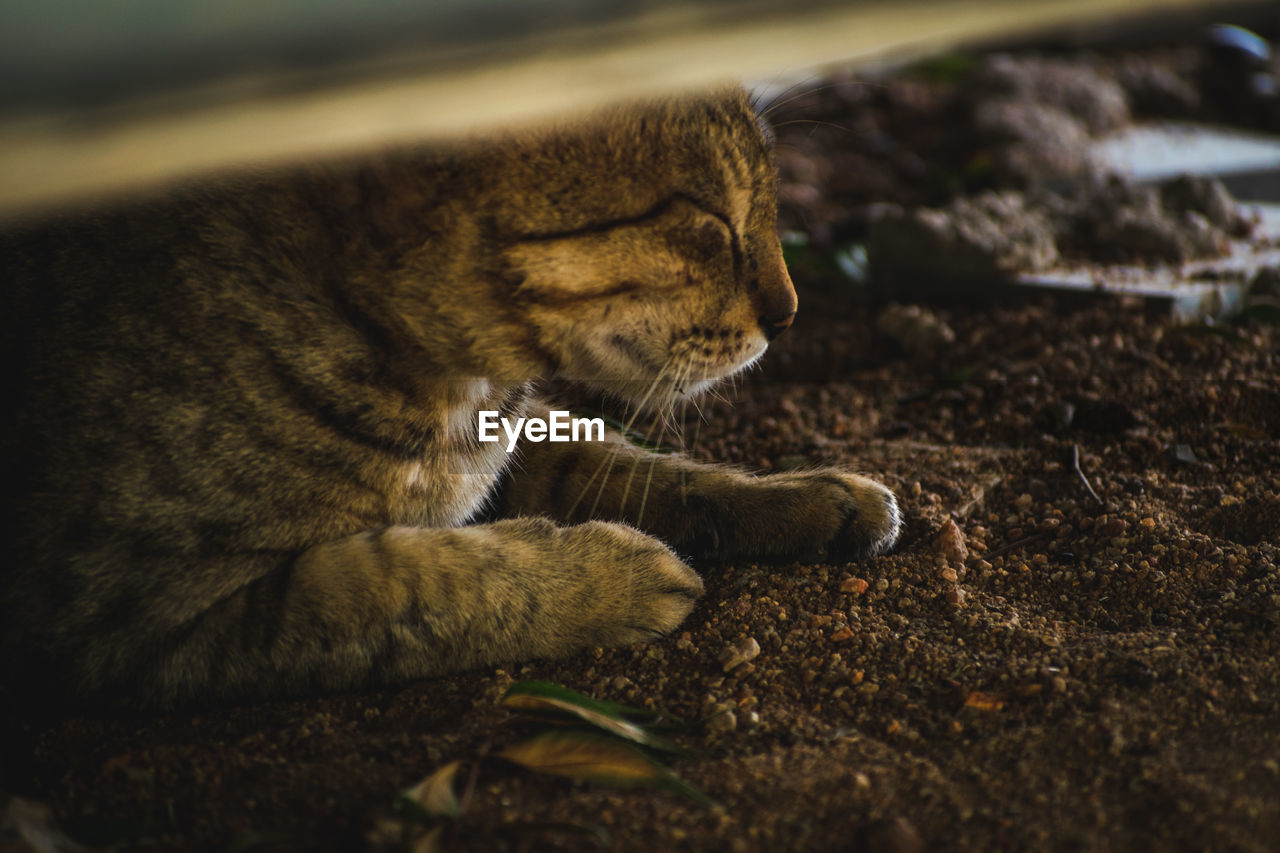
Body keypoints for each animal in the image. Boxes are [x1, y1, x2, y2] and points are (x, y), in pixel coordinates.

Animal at [0, 87, 901, 712]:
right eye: (710, 221)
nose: (790, 313)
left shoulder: (527, 437)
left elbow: (651, 467)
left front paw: (806, 495)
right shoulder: (131, 612)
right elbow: (423, 581)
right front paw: (610, 578)